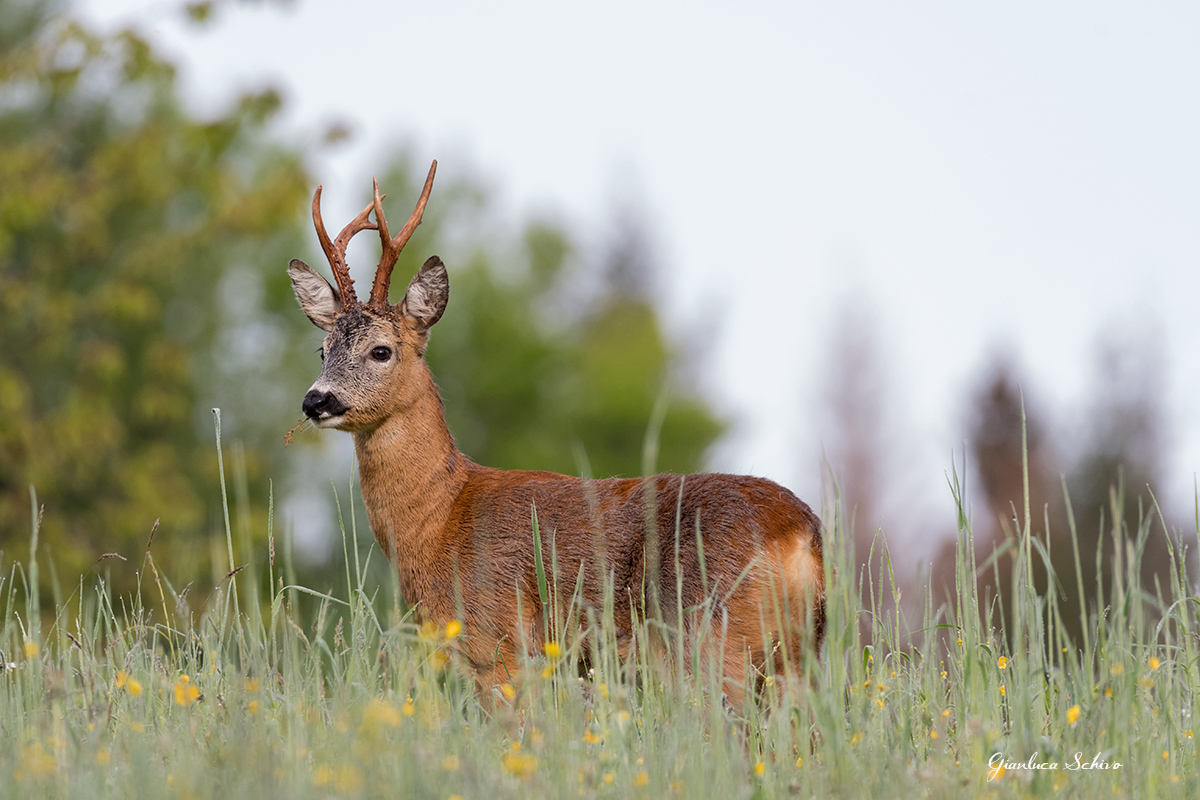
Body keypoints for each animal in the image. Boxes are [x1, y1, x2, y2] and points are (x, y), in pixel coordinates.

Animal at [288, 160, 826, 710]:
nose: (316, 401)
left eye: (381, 350)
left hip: (713, 642)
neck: (441, 516)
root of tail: (801, 533)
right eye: (322, 349)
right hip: (794, 659)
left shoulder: (501, 647)